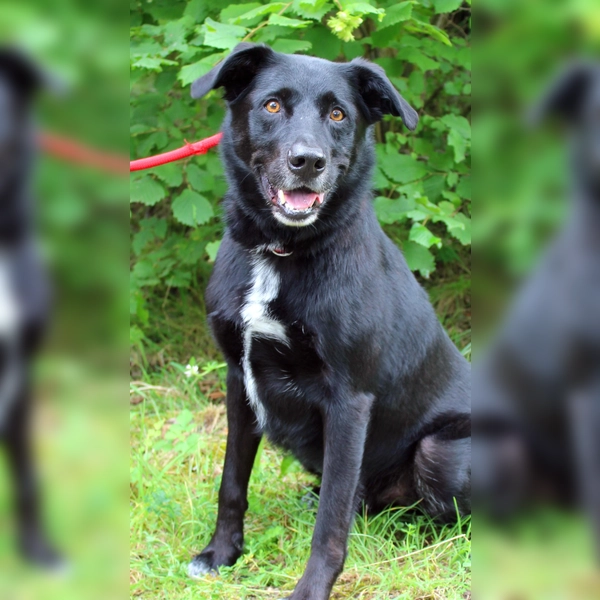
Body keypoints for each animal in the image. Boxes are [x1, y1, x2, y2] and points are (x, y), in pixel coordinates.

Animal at [188, 43, 468, 600]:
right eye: (272, 105)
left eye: (338, 115)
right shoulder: (238, 379)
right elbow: (231, 482)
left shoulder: (349, 400)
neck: (280, 252)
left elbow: (332, 523)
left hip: (441, 449)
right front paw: (221, 553)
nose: (308, 162)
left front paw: (312, 589)